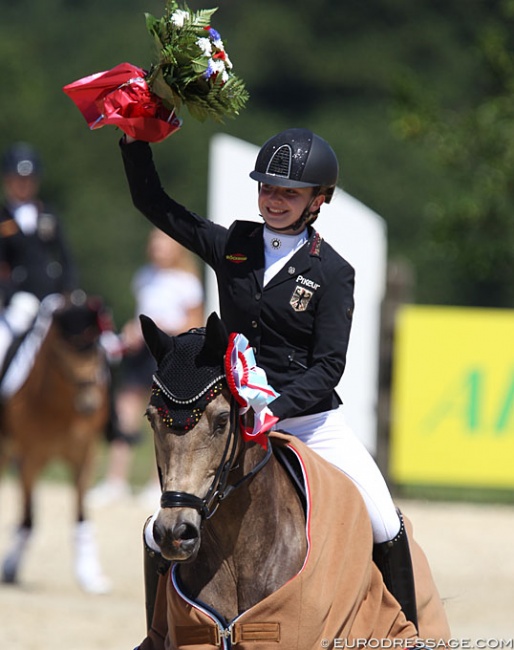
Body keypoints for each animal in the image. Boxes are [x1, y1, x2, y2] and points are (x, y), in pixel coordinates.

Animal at [0, 292, 112, 592]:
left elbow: (82, 512)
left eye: (96, 346)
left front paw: (89, 574)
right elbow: (28, 518)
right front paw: (11, 568)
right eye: (63, 347)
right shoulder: (30, 456)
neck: (62, 409)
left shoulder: (86, 455)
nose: (89, 404)